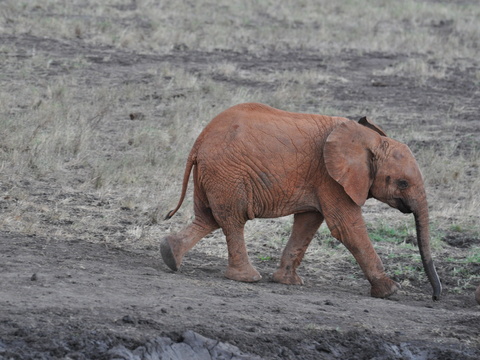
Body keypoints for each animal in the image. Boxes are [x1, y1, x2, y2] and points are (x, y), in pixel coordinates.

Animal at [162, 102, 442, 300]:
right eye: (403, 183)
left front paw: (287, 282)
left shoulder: (320, 179)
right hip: (227, 173)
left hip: (213, 174)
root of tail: (199, 142)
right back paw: (247, 278)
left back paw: (170, 256)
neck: (368, 138)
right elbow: (347, 228)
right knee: (233, 220)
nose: (436, 297)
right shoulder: (330, 177)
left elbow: (307, 223)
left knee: (208, 218)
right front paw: (391, 291)